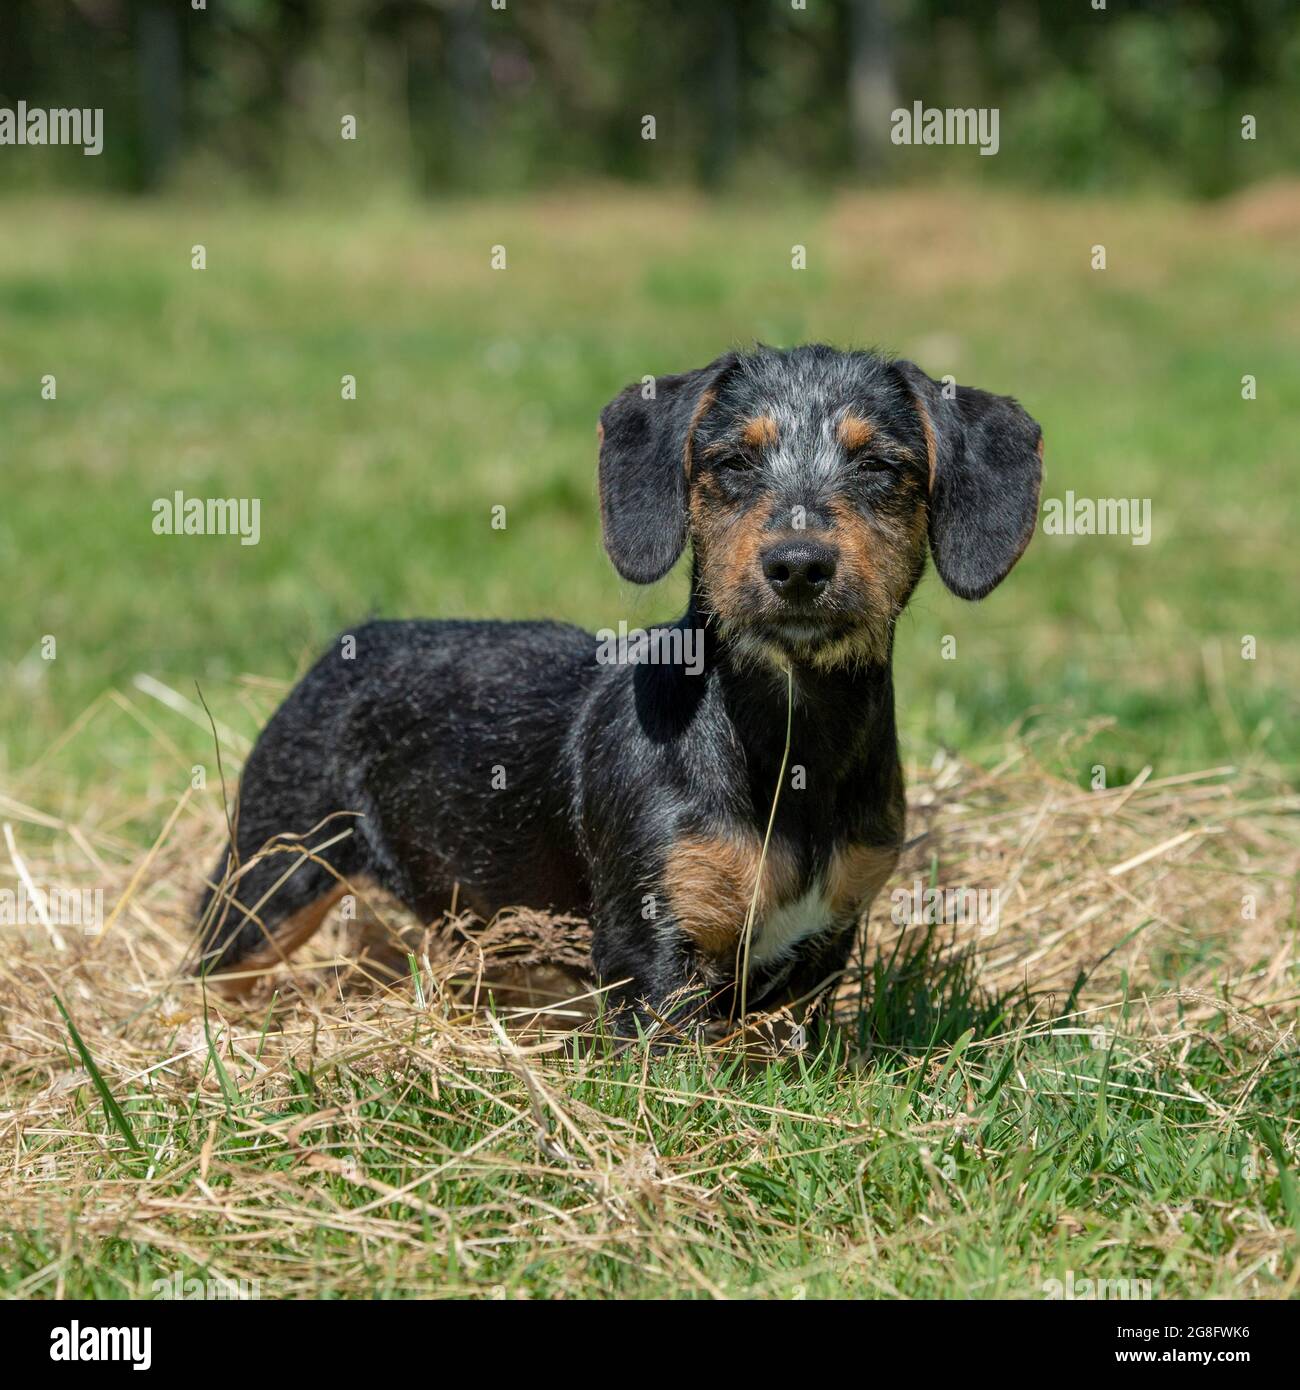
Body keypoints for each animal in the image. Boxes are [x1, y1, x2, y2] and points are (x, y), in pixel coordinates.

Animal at [196, 343, 1045, 1039]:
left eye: (879, 468)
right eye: (734, 463)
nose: (798, 565)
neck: (787, 736)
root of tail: (351, 643)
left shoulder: (824, 945)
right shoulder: (653, 953)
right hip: (271, 873)